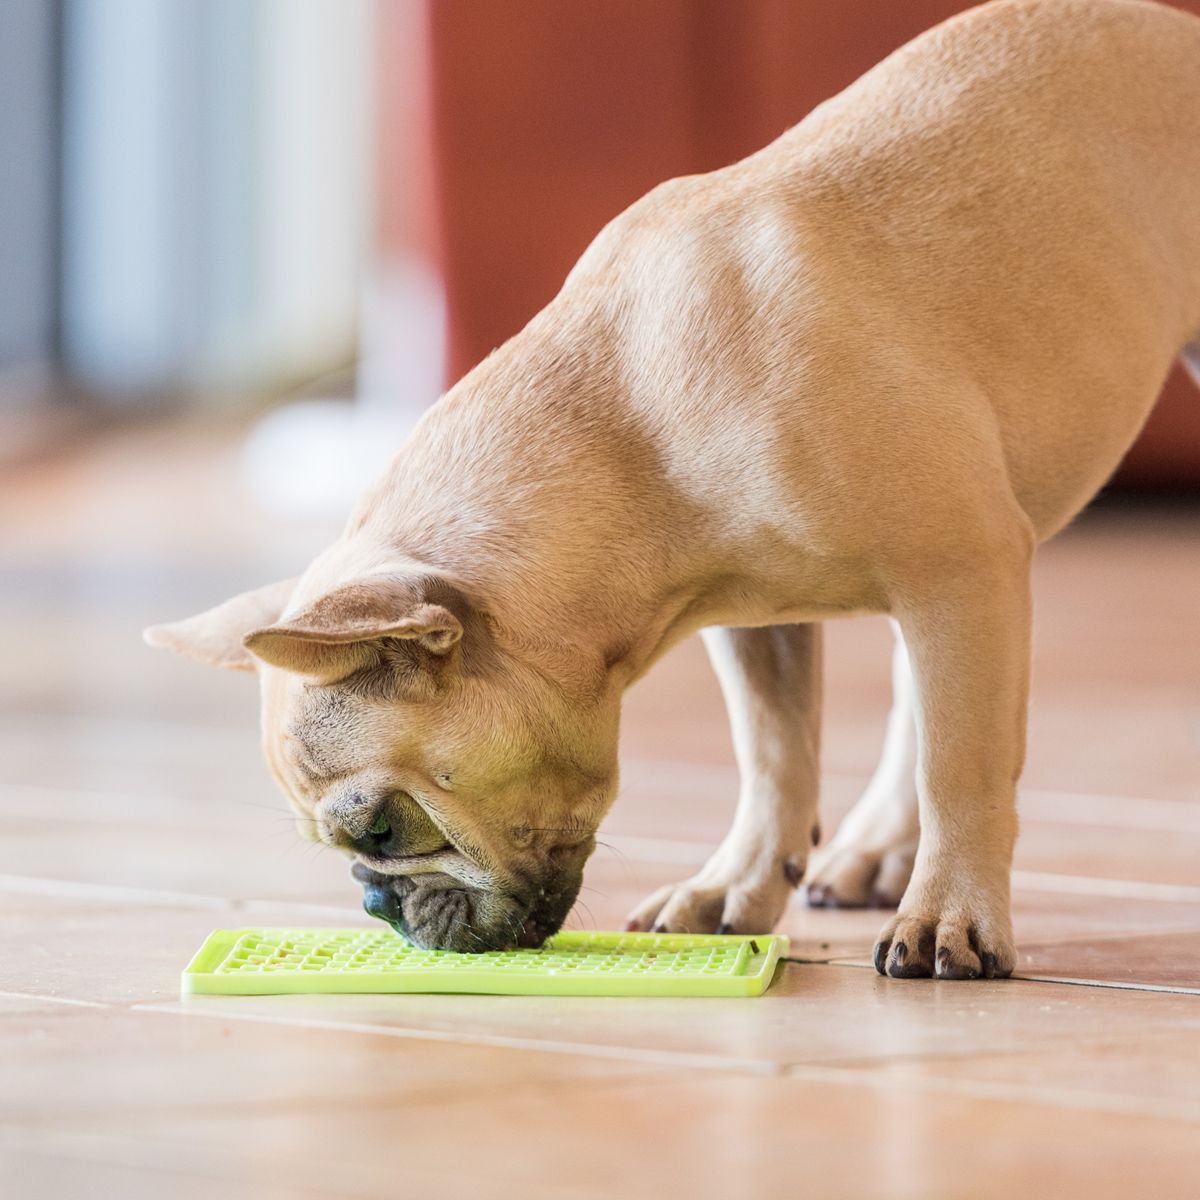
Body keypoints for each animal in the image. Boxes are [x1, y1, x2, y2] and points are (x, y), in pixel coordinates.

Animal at [147, 0, 1200, 974]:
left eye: (382, 830)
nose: (374, 902)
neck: (631, 422)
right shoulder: (769, 622)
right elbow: (774, 759)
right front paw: (735, 886)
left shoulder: (962, 569)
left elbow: (964, 765)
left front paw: (951, 915)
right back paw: (874, 850)